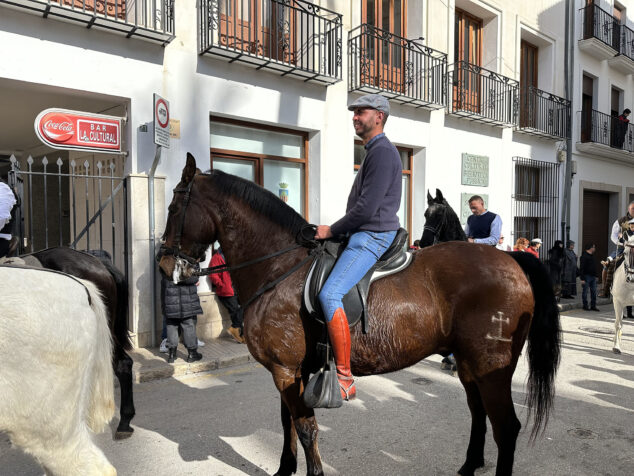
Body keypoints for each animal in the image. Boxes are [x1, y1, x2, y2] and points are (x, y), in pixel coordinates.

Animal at [158, 153, 556, 476]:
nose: (163, 264)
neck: (278, 266)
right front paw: (285, 469)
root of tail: (511, 259)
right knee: (478, 412)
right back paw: (469, 464)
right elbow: (287, 423)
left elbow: (305, 428)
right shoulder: (287, 370)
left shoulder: (285, 370)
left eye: (174, 208)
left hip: (492, 367)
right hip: (471, 365)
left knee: (506, 427)